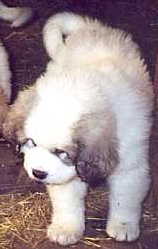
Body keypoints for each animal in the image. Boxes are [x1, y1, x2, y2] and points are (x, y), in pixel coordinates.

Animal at [3, 13, 154, 245]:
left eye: (61, 152)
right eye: (31, 143)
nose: (38, 173)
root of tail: (89, 27)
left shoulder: (131, 165)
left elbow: (126, 198)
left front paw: (123, 226)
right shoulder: (65, 176)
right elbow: (67, 201)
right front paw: (66, 228)